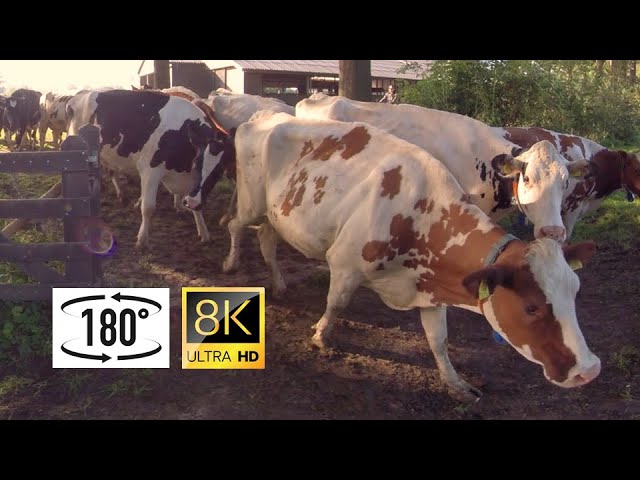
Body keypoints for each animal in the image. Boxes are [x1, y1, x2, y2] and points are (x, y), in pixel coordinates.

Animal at [65, 87, 225, 249]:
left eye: (217, 173)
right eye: (197, 163)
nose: (192, 202)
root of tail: (80, 95)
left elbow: (196, 207)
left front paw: (203, 232)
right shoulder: (150, 170)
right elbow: (148, 207)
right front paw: (142, 239)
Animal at [218, 112, 604, 402]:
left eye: (575, 294)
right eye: (532, 307)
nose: (589, 369)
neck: (420, 214)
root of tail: (262, 116)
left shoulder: (432, 289)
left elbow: (439, 341)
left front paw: (455, 384)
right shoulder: (344, 263)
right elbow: (336, 303)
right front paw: (320, 335)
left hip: (273, 213)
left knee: (266, 237)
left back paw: (279, 282)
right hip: (251, 202)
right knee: (237, 226)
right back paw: (230, 264)